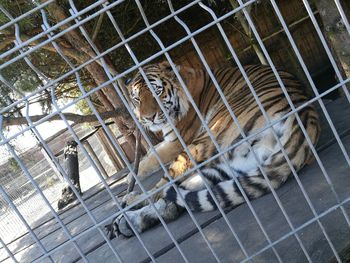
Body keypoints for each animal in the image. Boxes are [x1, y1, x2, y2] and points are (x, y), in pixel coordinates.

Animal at [106, 61, 320, 239]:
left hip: (204, 141)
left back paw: (128, 203)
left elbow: (152, 158)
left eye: (156, 92)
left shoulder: (177, 142)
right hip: (234, 165)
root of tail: (303, 113)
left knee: (162, 188)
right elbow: (151, 152)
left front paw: (131, 175)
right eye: (137, 99)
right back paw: (128, 223)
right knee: (179, 195)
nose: (147, 118)